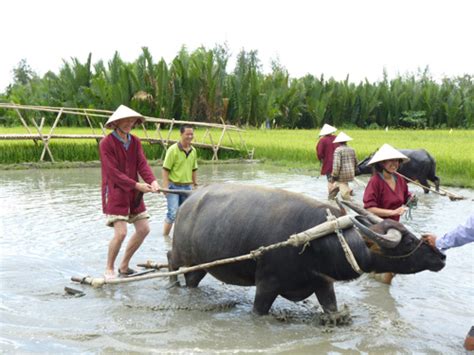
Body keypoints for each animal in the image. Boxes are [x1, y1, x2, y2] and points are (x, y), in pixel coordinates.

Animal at [167, 184, 444, 322]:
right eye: (408, 242)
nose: (441, 257)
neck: (320, 242)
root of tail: (190, 196)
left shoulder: (323, 284)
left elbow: (331, 308)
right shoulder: (266, 285)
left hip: (201, 264)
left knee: (192, 279)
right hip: (183, 253)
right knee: (171, 260)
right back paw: (171, 285)